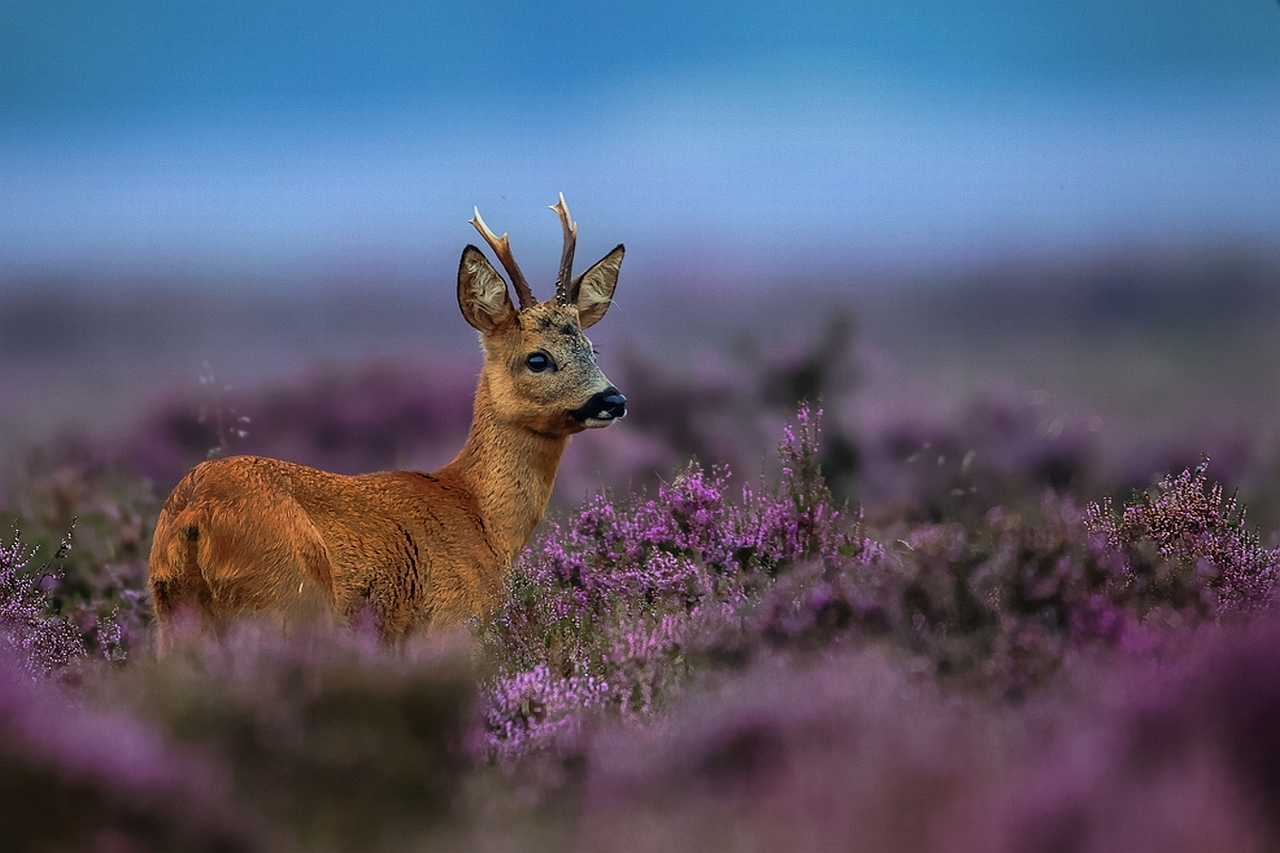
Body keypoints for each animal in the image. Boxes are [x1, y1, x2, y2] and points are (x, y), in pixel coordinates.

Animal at [147, 192, 627, 645]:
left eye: (593, 349)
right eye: (537, 358)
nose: (614, 399)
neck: (481, 517)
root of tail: (195, 516)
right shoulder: (452, 618)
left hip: (173, 611)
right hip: (287, 600)